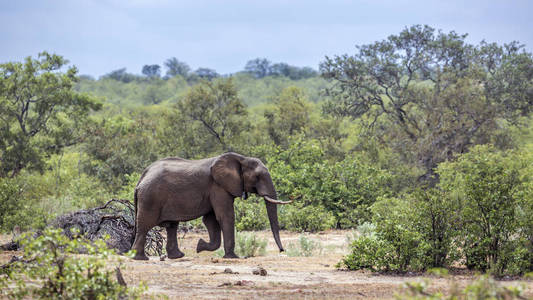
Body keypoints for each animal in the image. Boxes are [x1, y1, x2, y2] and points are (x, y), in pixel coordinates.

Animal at [132, 152, 290, 260]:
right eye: (257, 177)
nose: (282, 251)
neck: (241, 158)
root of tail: (141, 178)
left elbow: (211, 220)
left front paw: (200, 246)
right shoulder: (218, 187)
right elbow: (225, 216)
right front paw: (233, 257)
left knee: (172, 226)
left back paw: (177, 256)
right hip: (150, 198)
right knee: (145, 226)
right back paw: (141, 258)